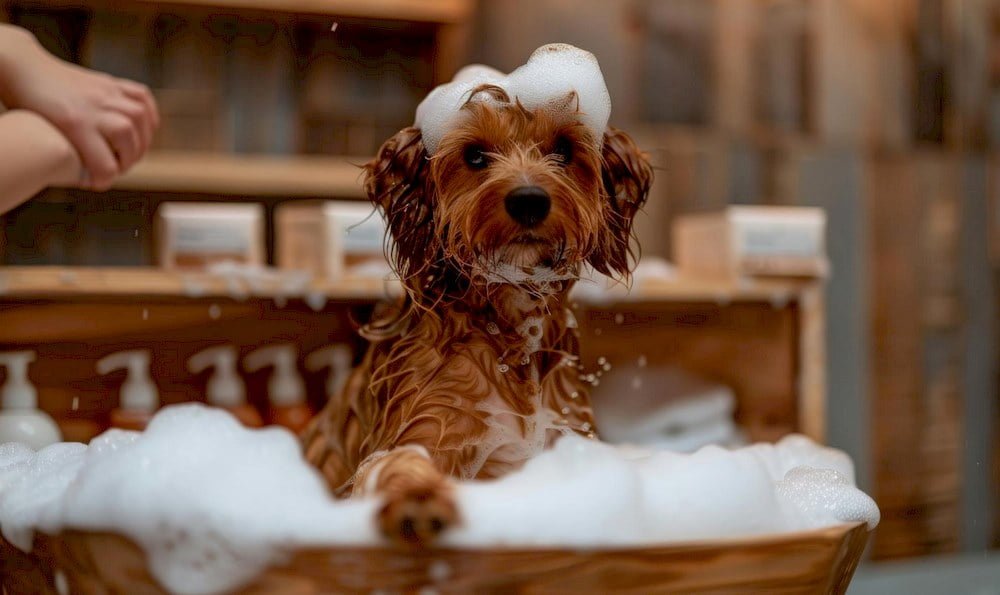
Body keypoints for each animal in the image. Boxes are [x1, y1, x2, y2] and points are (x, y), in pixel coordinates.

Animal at [300, 82, 652, 544]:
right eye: (475, 155)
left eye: (563, 149)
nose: (528, 200)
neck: (513, 329)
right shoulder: (427, 427)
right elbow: (398, 463)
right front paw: (416, 497)